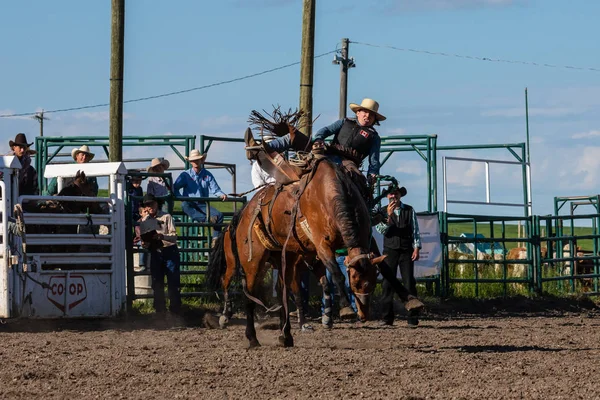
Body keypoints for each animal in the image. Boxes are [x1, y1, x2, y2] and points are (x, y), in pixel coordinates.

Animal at [206, 159, 384, 346]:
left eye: (373, 281)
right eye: (355, 280)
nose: (364, 314)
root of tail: (243, 213)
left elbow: (322, 283)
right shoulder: (322, 247)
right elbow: (335, 275)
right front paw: (345, 308)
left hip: (282, 260)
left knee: (280, 292)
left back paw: (285, 335)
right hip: (249, 262)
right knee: (242, 290)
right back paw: (247, 333)